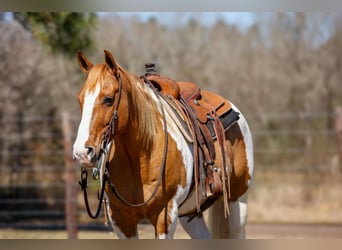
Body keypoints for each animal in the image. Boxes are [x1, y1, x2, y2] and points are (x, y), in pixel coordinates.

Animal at [73, 49, 254, 239]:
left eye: (108, 99)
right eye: (80, 99)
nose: (82, 152)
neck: (141, 156)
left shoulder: (165, 216)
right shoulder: (121, 220)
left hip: (238, 203)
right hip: (190, 213)